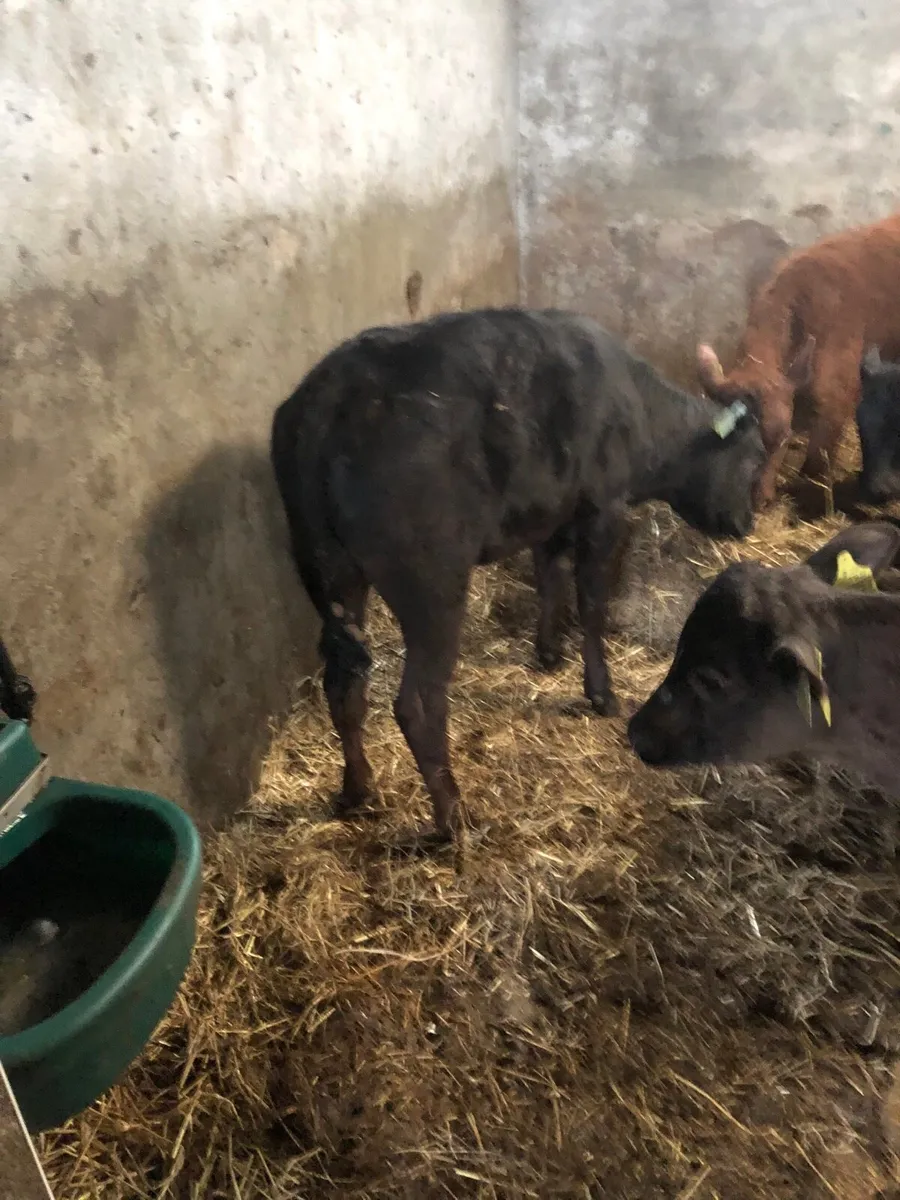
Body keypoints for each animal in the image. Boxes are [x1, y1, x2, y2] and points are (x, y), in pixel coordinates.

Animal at [271, 307, 766, 845]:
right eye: (754, 460)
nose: (746, 523)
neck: (638, 408)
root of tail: (328, 399)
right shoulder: (604, 510)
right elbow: (592, 603)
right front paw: (600, 691)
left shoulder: (550, 513)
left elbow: (549, 575)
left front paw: (548, 652)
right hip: (431, 586)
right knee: (418, 704)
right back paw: (452, 817)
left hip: (331, 574)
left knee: (344, 686)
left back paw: (358, 791)